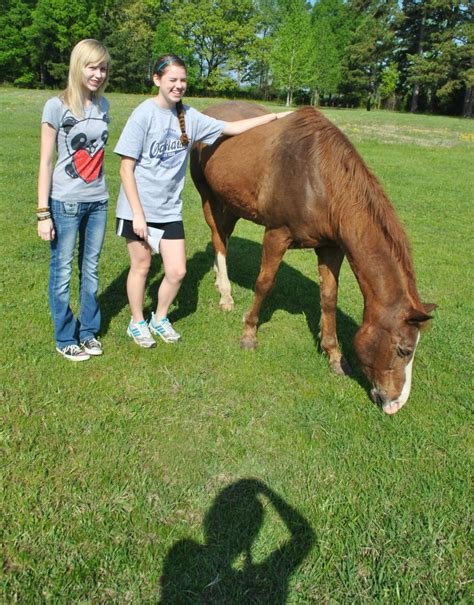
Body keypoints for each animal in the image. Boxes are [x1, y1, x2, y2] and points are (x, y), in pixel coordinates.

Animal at [191, 101, 436, 412]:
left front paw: (335, 356)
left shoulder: (331, 248)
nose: (395, 403)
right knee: (218, 238)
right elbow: (264, 283)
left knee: (223, 237)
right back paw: (225, 294)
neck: (318, 179)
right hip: (208, 196)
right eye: (404, 350)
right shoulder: (276, 234)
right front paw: (248, 334)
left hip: (231, 201)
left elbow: (329, 298)